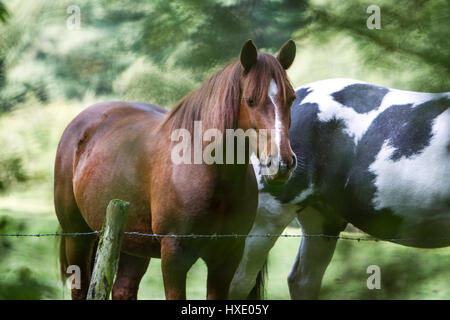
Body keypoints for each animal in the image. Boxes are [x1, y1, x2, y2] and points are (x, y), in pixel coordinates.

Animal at [54, 40, 298, 300]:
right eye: (250, 100)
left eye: (291, 99)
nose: (281, 162)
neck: (212, 173)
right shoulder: (174, 256)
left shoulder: (227, 257)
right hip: (77, 236)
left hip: (133, 245)